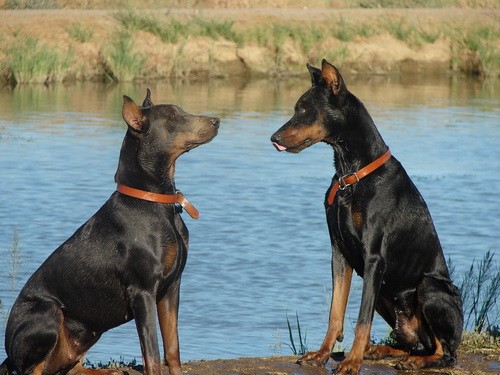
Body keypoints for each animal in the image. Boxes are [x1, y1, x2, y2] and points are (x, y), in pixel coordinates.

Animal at [0, 91, 219, 375]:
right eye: (172, 116)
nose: (216, 121)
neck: (156, 201)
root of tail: (9, 354)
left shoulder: (172, 287)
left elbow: (172, 349)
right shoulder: (142, 291)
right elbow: (152, 353)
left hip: (88, 331)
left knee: (71, 367)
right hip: (47, 311)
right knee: (33, 369)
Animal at [272, 60, 462, 374]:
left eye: (305, 109)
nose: (273, 138)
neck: (350, 173)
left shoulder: (374, 258)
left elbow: (362, 319)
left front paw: (351, 362)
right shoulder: (338, 252)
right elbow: (335, 311)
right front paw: (321, 355)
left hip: (428, 287)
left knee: (444, 351)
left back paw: (413, 361)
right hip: (387, 296)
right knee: (415, 342)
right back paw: (382, 351)